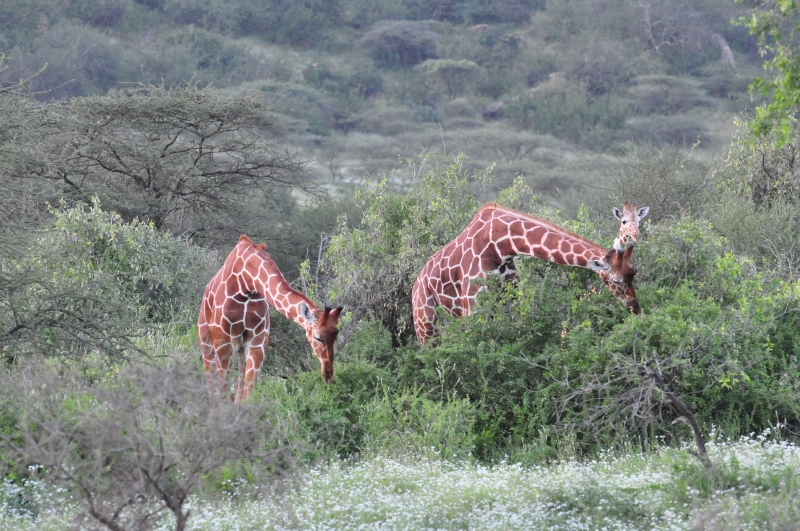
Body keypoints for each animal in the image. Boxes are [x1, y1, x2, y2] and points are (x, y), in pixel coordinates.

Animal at [198, 235, 343, 402]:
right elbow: (221, 392)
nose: (328, 374)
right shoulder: (223, 343)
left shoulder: (257, 342)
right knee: (211, 382)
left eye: (335, 336)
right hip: (207, 341)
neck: (247, 283)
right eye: (318, 337)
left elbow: (247, 394)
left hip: (240, 349)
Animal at [412, 203, 639, 344]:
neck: (500, 244)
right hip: (425, 323)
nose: (635, 309)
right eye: (617, 280)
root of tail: (416, 283)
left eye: (633, 273)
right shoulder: (474, 306)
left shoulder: (509, 299)